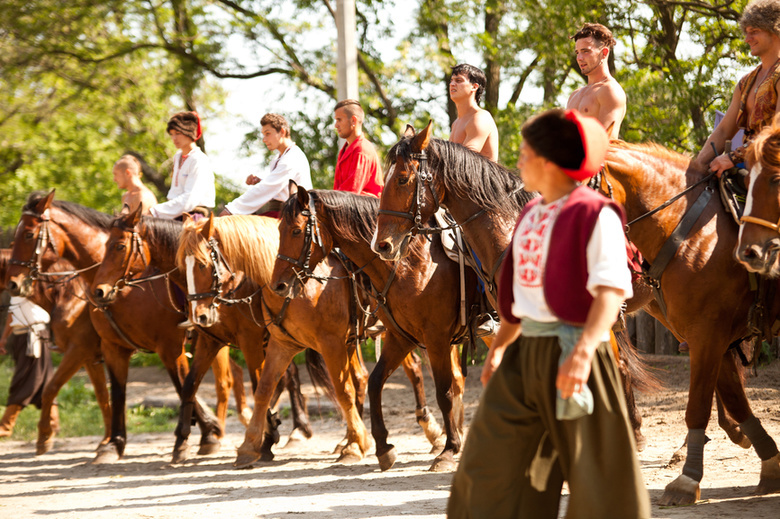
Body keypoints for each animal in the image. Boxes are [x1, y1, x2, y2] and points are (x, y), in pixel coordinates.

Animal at [0, 250, 109, 458]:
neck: (65, 296)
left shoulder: (77, 352)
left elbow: (50, 388)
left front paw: (43, 438)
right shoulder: (90, 358)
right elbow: (102, 395)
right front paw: (108, 440)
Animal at [90, 206, 326, 460]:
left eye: (119, 246)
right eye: (183, 265)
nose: (99, 291)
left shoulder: (245, 341)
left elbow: (257, 384)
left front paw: (263, 438)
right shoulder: (209, 341)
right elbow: (188, 386)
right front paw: (183, 441)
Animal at [177, 215, 374, 468]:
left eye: (202, 264)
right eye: (183, 268)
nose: (198, 316)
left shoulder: (325, 343)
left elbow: (342, 390)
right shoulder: (274, 344)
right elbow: (261, 389)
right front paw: (250, 445)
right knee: (360, 377)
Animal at [272, 186, 482, 472]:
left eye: (295, 231)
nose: (278, 285)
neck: (409, 264)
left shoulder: (435, 338)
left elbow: (443, 391)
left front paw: (449, 449)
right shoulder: (399, 337)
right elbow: (372, 382)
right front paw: (381, 446)